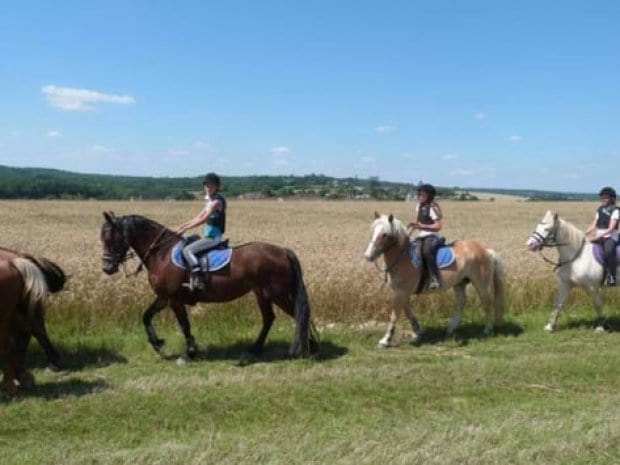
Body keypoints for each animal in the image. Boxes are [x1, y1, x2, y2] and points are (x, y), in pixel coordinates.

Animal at [100, 212, 320, 358]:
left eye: (112, 239)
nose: (107, 268)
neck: (161, 253)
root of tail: (283, 251)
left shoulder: (174, 299)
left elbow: (184, 324)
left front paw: (189, 351)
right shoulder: (164, 297)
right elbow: (146, 316)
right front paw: (157, 344)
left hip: (277, 294)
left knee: (298, 314)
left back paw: (308, 347)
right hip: (262, 293)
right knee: (269, 318)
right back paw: (256, 348)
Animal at [364, 212, 504, 346]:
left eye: (385, 235)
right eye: (372, 231)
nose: (367, 256)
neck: (403, 258)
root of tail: (486, 251)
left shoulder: (402, 292)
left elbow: (395, 315)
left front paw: (385, 340)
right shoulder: (401, 292)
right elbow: (408, 311)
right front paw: (418, 331)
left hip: (481, 283)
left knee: (487, 302)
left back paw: (487, 330)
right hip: (459, 283)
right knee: (461, 302)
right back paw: (451, 328)